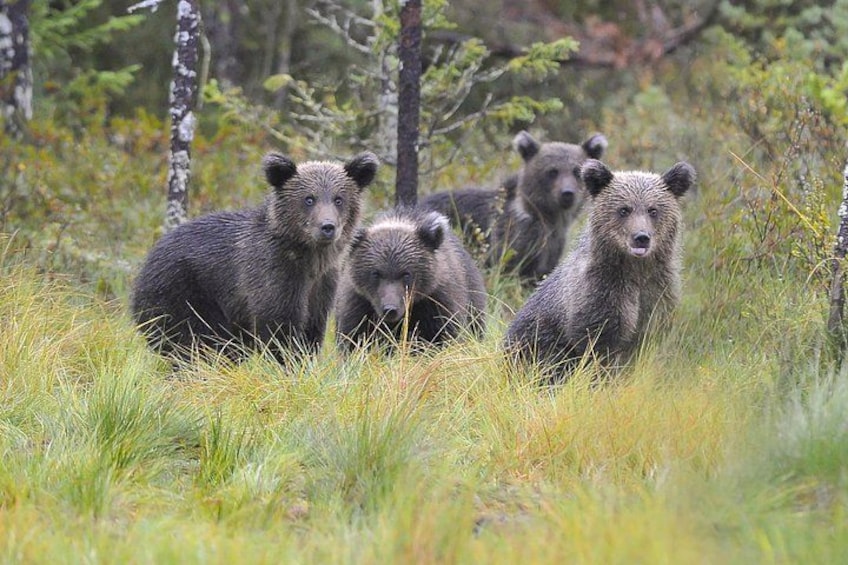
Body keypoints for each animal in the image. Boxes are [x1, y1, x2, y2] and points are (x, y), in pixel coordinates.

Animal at [131, 150, 379, 362]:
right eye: (309, 199)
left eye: (339, 199)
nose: (327, 227)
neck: (309, 257)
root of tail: (146, 261)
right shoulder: (271, 272)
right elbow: (279, 327)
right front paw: (287, 364)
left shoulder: (322, 284)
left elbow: (311, 330)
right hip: (181, 294)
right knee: (191, 344)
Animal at [334, 207, 488, 350]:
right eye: (376, 273)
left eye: (406, 274)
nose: (390, 309)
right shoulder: (358, 303)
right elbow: (355, 337)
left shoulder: (436, 301)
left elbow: (443, 335)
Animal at [420, 131, 608, 284]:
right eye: (553, 171)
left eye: (576, 171)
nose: (567, 193)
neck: (548, 218)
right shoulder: (513, 238)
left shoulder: (553, 245)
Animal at [503, 159, 696, 381]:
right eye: (624, 209)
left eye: (653, 210)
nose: (641, 237)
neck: (635, 269)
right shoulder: (600, 293)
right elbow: (598, 346)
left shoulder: (656, 291)